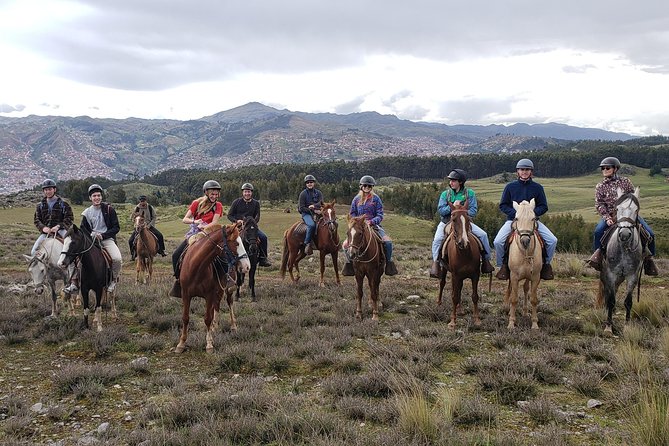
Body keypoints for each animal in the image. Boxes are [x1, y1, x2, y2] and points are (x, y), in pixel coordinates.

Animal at [175, 221, 250, 354]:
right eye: (236, 243)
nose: (247, 266)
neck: (196, 267)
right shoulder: (186, 295)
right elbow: (185, 318)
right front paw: (181, 343)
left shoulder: (208, 295)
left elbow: (207, 318)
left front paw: (209, 344)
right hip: (218, 290)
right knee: (217, 304)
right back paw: (215, 326)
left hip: (227, 289)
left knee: (229, 302)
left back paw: (233, 326)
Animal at [506, 200, 544, 330]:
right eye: (516, 218)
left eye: (533, 218)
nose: (525, 241)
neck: (524, 252)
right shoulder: (513, 276)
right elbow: (513, 299)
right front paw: (511, 323)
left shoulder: (535, 277)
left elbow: (533, 299)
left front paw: (535, 323)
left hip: (528, 276)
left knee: (526, 288)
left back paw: (525, 311)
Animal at [596, 186, 644, 334]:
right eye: (617, 209)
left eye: (636, 210)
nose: (624, 234)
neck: (623, 248)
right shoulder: (611, 274)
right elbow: (611, 299)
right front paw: (608, 327)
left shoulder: (632, 275)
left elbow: (628, 301)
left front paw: (627, 326)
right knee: (607, 292)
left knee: (616, 289)